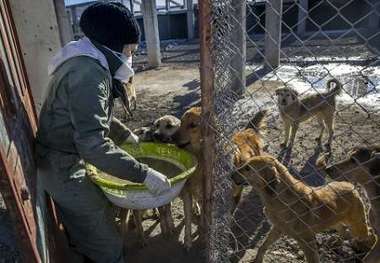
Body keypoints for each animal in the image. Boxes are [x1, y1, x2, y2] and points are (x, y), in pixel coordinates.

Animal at [175, 106, 268, 250]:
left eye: (193, 125)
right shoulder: (188, 192)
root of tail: (248, 131)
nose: (171, 138)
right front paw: (188, 242)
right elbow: (188, 220)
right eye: (181, 122)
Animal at [236, 157, 376, 263]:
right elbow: (263, 246)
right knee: (343, 230)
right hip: (334, 220)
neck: (277, 197)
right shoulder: (277, 228)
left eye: (248, 168)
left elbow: (313, 259)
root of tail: (350, 185)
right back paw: (336, 241)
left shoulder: (308, 241)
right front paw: (257, 259)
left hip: (358, 226)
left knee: (370, 233)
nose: (232, 175)